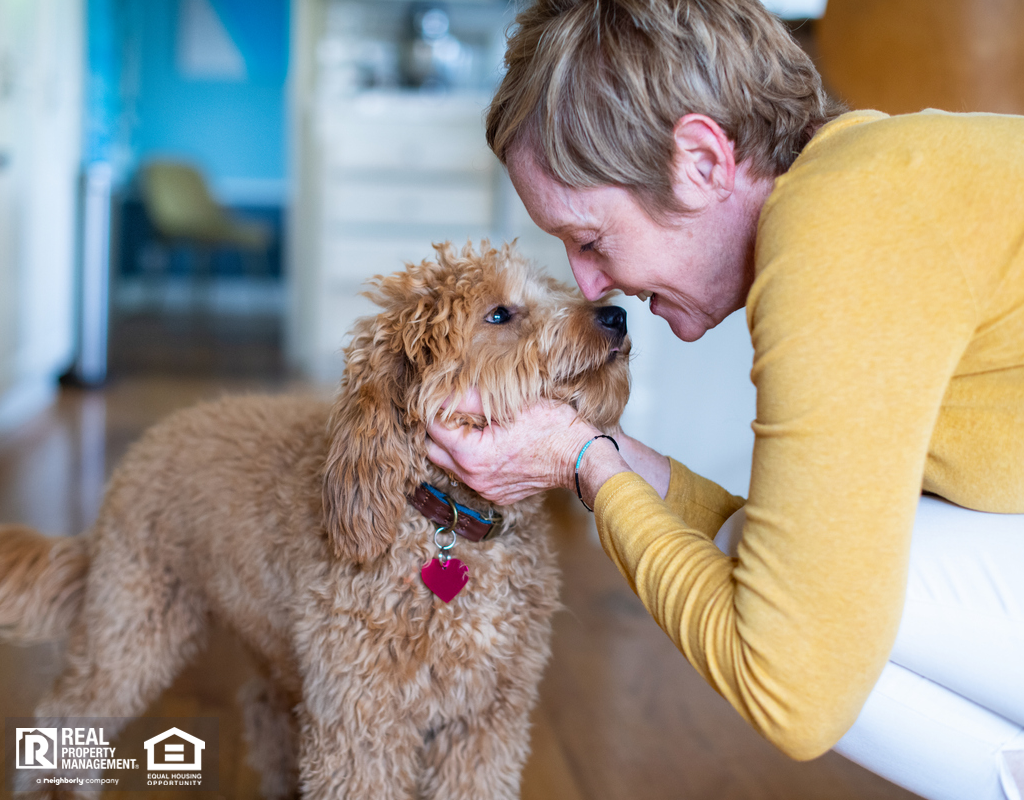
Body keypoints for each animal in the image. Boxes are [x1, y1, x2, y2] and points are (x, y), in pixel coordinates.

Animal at [0, 240, 626, 794]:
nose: (617, 314)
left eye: (552, 287)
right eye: (500, 314)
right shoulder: (360, 724)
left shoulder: (485, 722)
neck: (440, 518)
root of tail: (142, 448)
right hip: (133, 625)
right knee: (67, 709)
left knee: (262, 708)